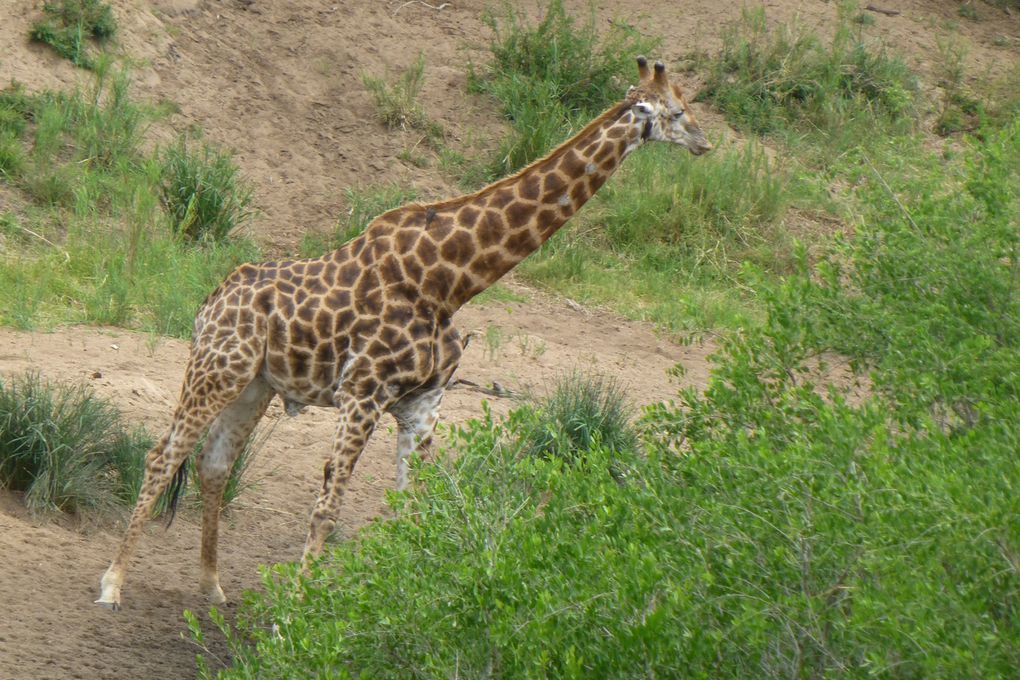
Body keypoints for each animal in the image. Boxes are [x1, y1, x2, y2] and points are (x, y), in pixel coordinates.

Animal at [97, 55, 709, 607]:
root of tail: (209, 303)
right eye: (678, 111)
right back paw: (113, 584)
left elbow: (414, 511)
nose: (706, 143)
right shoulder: (362, 392)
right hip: (217, 369)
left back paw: (212, 586)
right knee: (161, 456)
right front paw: (293, 615)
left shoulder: (422, 404)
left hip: (256, 385)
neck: (451, 280)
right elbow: (328, 507)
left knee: (213, 465)